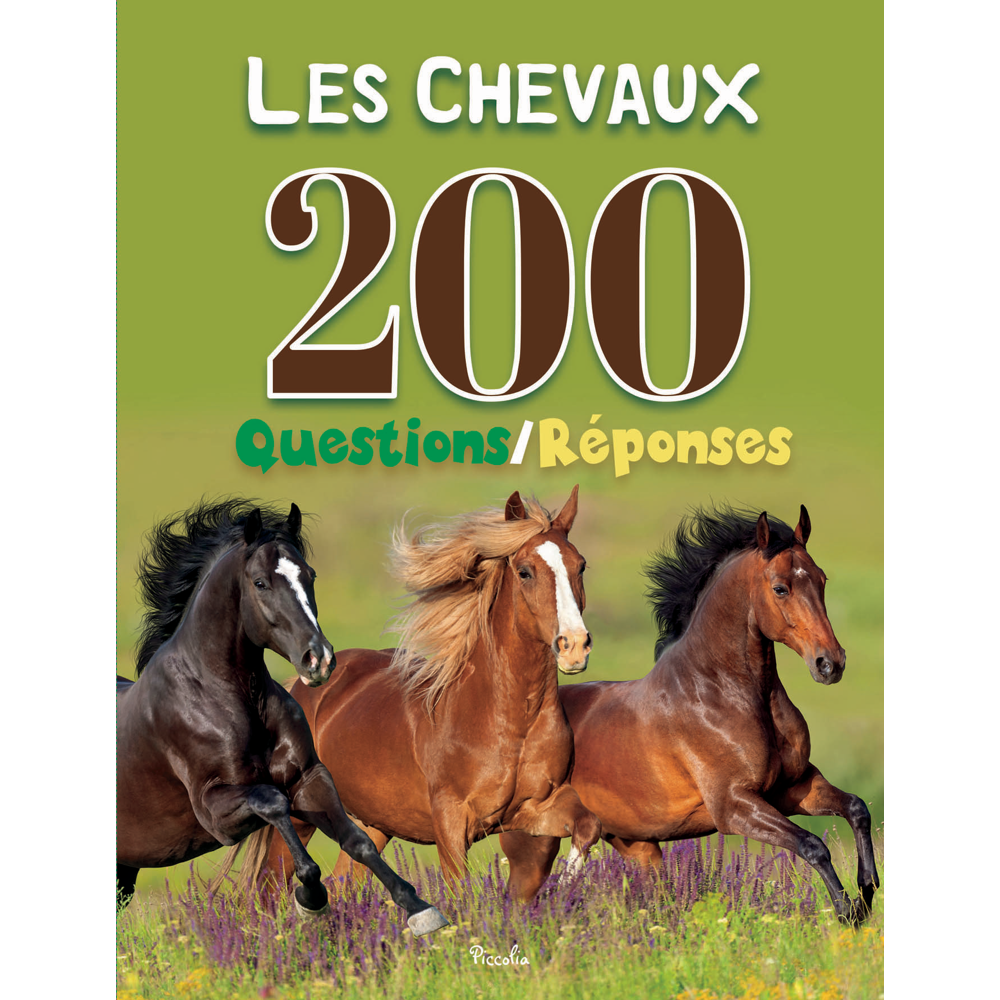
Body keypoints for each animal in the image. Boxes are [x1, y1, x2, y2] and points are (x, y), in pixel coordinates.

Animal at [116, 499, 447, 935]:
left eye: (310, 575)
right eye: (260, 583)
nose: (318, 659)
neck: (228, 697)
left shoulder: (308, 778)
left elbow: (357, 840)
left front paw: (419, 908)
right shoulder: (214, 812)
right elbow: (273, 802)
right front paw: (311, 897)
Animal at [238, 487, 602, 900]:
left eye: (580, 566)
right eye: (525, 571)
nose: (574, 646)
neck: (509, 720)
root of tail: (298, 687)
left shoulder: (534, 808)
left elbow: (587, 826)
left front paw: (563, 891)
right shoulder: (451, 822)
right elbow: (459, 889)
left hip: (374, 824)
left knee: (344, 881)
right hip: (301, 817)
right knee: (270, 888)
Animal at [499, 505, 879, 924]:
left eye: (821, 579)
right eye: (781, 588)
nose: (830, 663)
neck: (721, 693)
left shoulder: (793, 787)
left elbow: (857, 808)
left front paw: (867, 890)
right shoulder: (734, 806)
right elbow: (813, 845)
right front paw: (848, 912)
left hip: (638, 846)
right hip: (534, 843)